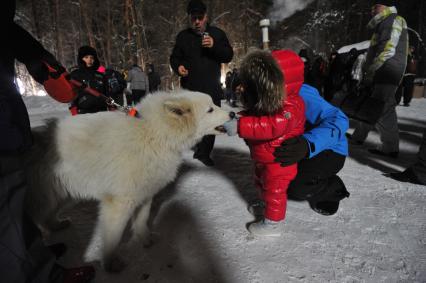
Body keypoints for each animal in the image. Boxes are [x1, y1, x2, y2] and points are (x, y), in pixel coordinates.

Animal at [25, 91, 231, 272]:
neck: (154, 133)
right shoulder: (119, 203)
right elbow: (113, 237)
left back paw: (56, 225)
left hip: (62, 194)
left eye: (214, 104)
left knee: (45, 215)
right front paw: (110, 263)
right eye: (210, 109)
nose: (233, 113)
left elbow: (141, 220)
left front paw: (145, 239)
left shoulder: (145, 193)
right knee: (37, 216)